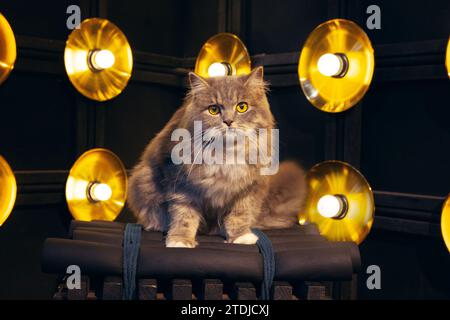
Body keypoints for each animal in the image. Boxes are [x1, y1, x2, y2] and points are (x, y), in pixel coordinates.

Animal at [128, 67, 308, 248]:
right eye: (213, 109)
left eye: (242, 107)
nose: (228, 121)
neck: (226, 153)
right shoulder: (180, 185)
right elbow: (184, 216)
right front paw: (180, 240)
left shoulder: (248, 189)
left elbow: (239, 215)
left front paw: (240, 237)